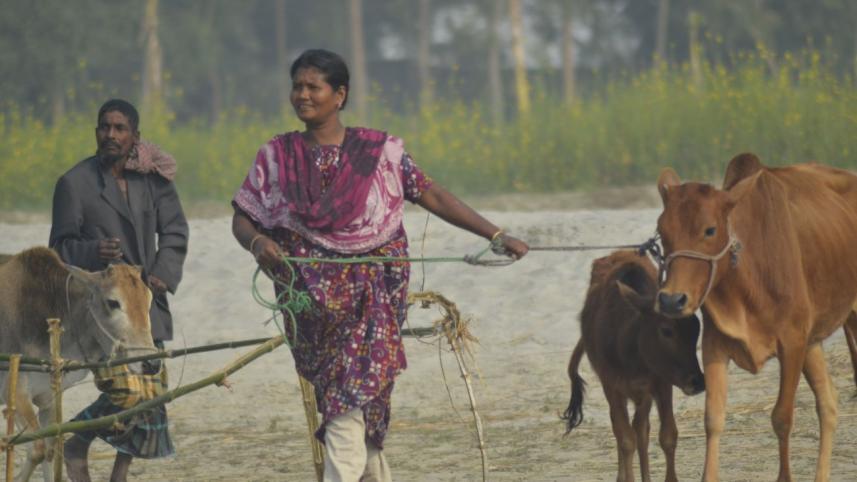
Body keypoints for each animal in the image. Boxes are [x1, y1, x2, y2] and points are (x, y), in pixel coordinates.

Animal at [0, 247, 156, 482]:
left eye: (149, 298)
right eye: (113, 302)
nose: (151, 363)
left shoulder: (48, 399)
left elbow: (48, 450)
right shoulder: (15, 394)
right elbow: (36, 450)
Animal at [563, 250, 705, 482]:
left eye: (696, 328)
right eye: (666, 330)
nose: (698, 381)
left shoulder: (661, 384)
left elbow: (667, 435)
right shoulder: (612, 385)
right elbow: (626, 439)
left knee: (641, 428)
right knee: (623, 428)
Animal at [655, 153, 857, 481]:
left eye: (710, 230)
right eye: (662, 232)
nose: (672, 300)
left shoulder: (792, 344)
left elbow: (782, 418)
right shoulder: (715, 345)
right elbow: (713, 418)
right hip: (813, 341)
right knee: (828, 402)